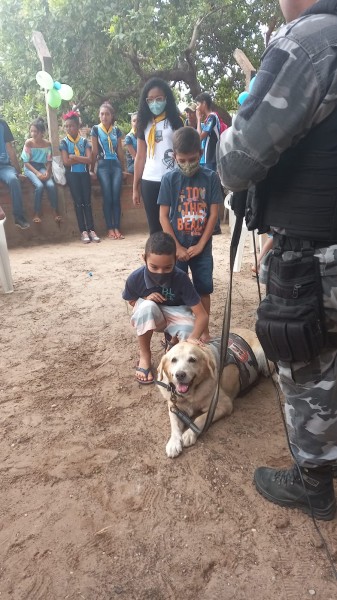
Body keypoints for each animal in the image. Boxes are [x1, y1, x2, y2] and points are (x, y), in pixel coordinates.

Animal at [156, 330, 270, 458]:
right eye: (173, 360)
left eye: (192, 360)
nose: (180, 374)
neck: (191, 395)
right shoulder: (174, 407)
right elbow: (175, 425)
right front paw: (173, 443)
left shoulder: (224, 405)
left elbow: (200, 419)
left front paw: (190, 433)